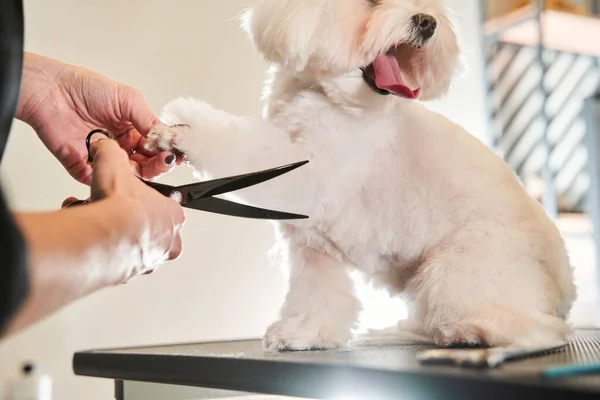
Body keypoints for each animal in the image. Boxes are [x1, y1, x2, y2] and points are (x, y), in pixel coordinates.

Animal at [146, 0, 576, 350]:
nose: (427, 22)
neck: (329, 97)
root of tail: (564, 283)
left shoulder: (304, 169)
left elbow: (241, 144)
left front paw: (183, 128)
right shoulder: (311, 244)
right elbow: (316, 292)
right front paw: (305, 333)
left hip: (460, 269)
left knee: (537, 328)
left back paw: (469, 332)